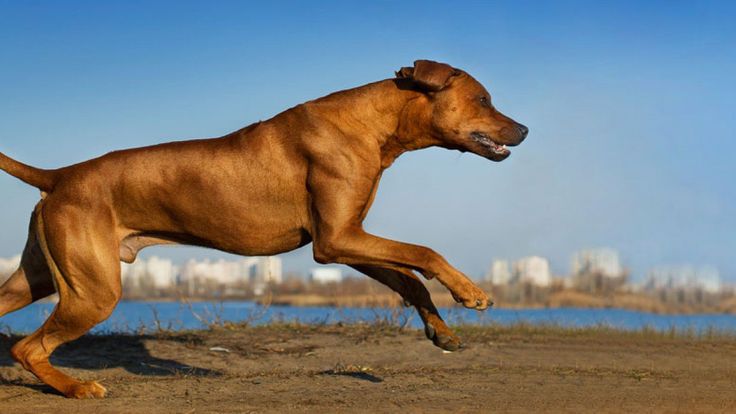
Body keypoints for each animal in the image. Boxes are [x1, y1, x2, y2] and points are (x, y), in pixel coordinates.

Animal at [0, 59, 528, 400]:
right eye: (483, 99)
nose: (524, 129)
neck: (373, 125)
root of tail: (60, 175)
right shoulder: (337, 240)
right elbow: (425, 252)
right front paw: (471, 293)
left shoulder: (346, 238)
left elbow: (409, 278)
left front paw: (440, 330)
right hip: (94, 291)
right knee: (27, 347)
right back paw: (75, 388)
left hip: (40, 277)